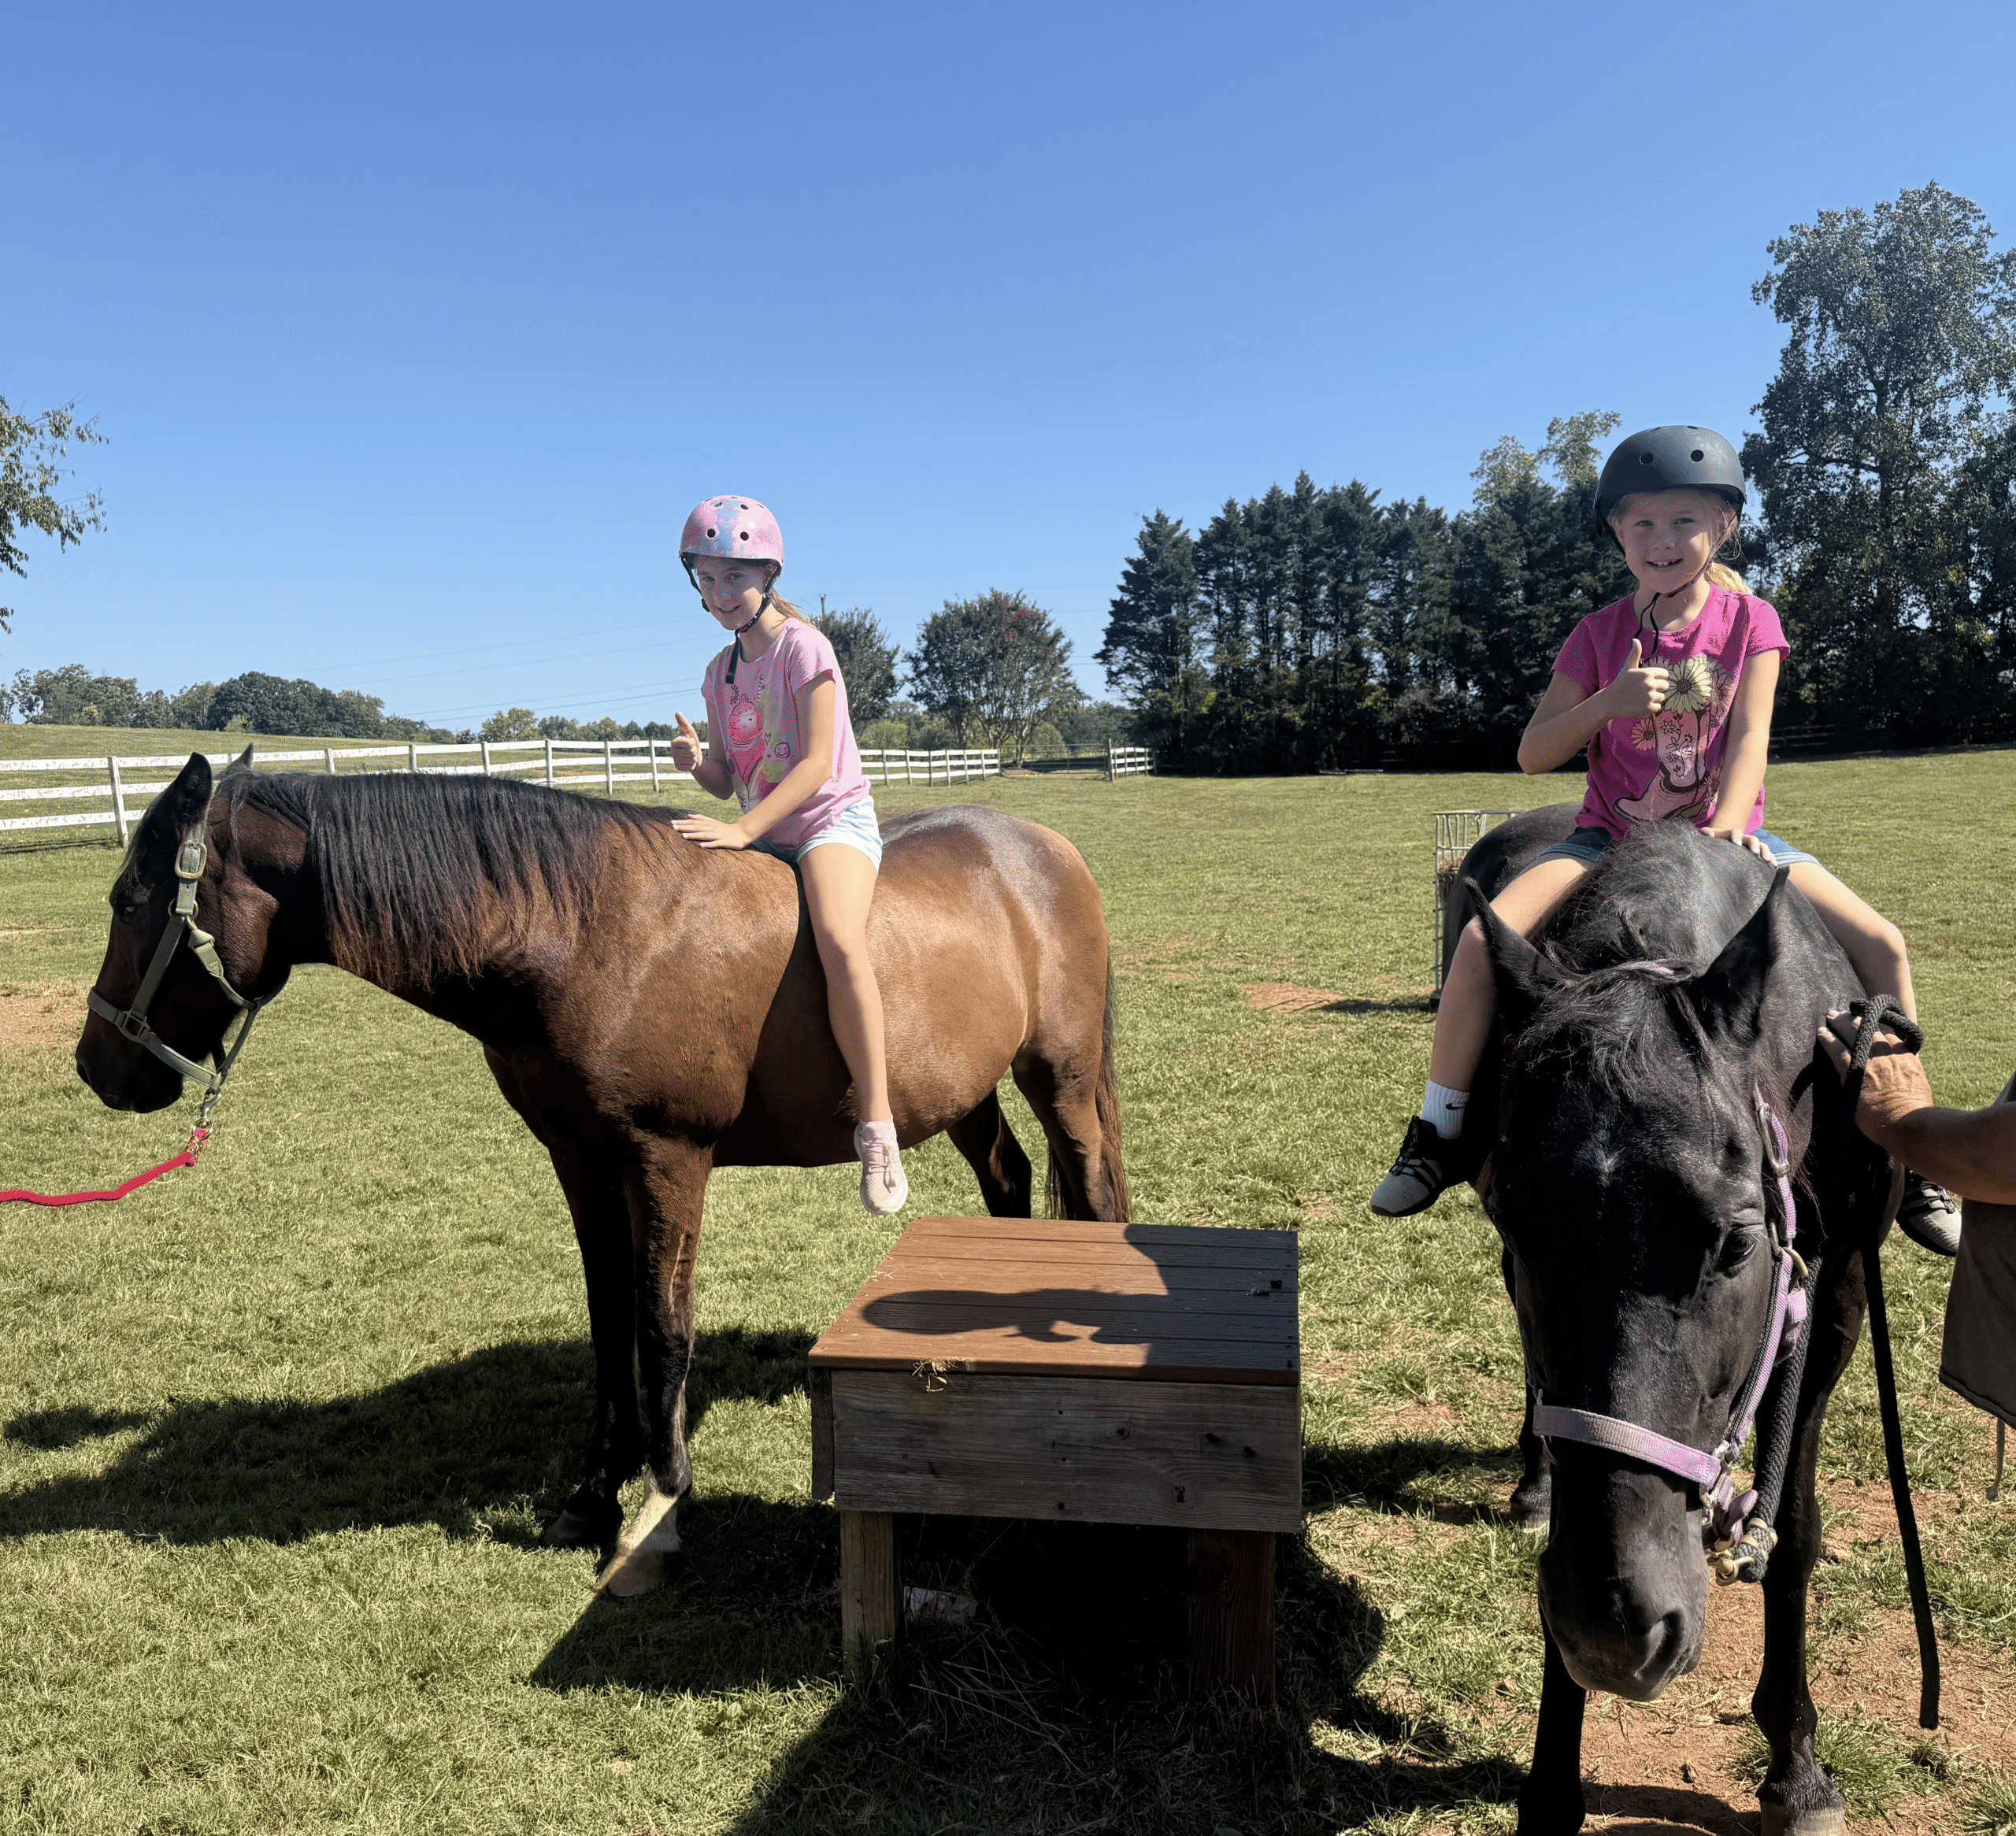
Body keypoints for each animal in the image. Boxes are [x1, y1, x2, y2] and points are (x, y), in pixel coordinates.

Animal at [74, 750, 1129, 1595]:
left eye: (129, 903)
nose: (95, 1064)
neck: (584, 931)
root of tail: (1043, 847)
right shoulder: (581, 1160)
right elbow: (608, 1319)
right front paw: (593, 1492)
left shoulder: (669, 1160)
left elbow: (662, 1328)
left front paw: (661, 1509)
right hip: (961, 1091)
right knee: (1007, 1179)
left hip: (1061, 1076)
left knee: (1090, 1197)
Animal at [1457, 818, 1900, 1836]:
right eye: (1514, 1223)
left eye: (1734, 1240)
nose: (1614, 1628)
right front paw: (1550, 1783)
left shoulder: (1834, 1305)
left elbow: (1794, 1532)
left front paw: (1795, 1769)